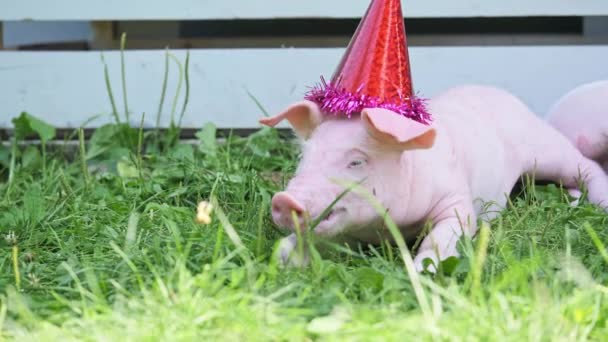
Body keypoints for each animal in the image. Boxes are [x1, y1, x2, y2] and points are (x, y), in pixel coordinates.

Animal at [260, 84, 608, 272]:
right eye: (305, 156)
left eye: (356, 161)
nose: (283, 200)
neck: (388, 228)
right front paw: (281, 257)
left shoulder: (456, 199)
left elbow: (447, 232)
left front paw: (422, 272)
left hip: (542, 147)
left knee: (585, 163)